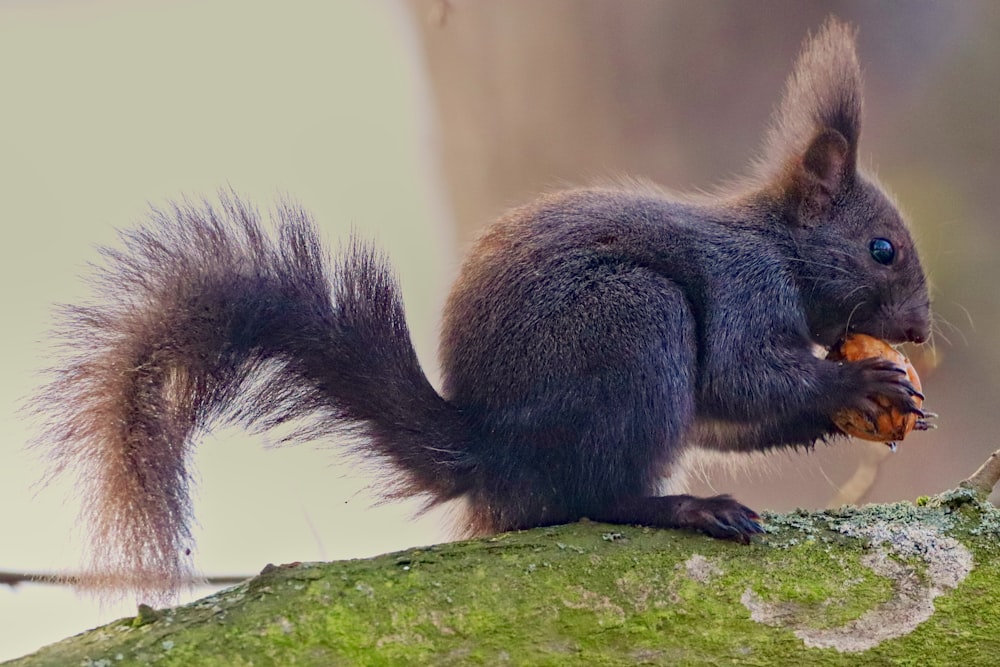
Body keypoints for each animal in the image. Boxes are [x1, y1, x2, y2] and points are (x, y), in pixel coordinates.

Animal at [37, 19, 928, 600]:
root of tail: (495, 453)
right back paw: (686, 506)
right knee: (594, 495)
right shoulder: (745, 285)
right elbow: (745, 378)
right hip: (635, 325)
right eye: (882, 248)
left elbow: (734, 417)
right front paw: (859, 385)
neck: (781, 245)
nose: (919, 328)